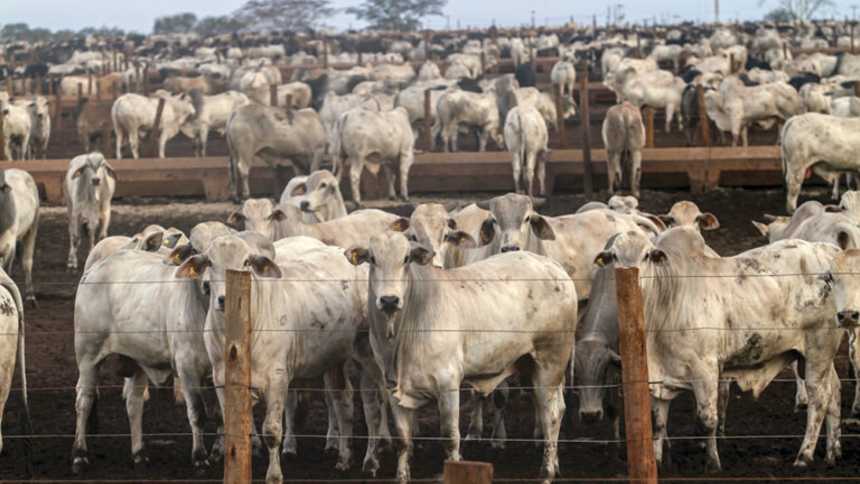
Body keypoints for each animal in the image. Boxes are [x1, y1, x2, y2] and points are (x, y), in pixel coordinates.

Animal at [344, 231, 576, 484]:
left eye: (406, 259)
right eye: (372, 258)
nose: (389, 300)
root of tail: (552, 266)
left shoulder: (448, 384)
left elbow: (450, 438)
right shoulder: (393, 386)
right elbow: (403, 440)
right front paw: (402, 476)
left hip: (550, 361)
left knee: (550, 414)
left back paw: (546, 472)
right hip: (528, 364)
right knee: (557, 408)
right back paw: (555, 465)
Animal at [596, 229, 844, 470]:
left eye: (647, 255)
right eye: (614, 256)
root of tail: (826, 251)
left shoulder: (705, 370)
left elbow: (707, 420)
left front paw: (713, 463)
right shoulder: (660, 377)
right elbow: (657, 423)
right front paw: (656, 462)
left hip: (818, 351)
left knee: (819, 399)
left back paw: (804, 456)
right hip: (818, 357)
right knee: (834, 391)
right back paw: (832, 453)